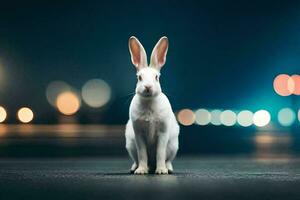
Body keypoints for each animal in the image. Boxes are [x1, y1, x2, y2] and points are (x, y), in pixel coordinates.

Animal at [125, 36, 179, 175]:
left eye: (156, 77)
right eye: (139, 77)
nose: (148, 87)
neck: (149, 101)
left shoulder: (163, 132)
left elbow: (160, 153)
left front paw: (161, 171)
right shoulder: (138, 134)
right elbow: (142, 153)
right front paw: (141, 171)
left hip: (173, 146)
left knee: (167, 159)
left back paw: (167, 168)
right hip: (130, 146)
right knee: (137, 159)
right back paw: (136, 168)